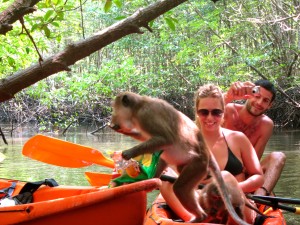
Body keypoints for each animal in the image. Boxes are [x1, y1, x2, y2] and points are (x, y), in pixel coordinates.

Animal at [109, 91, 250, 225]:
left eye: (115, 109)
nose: (112, 118)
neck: (138, 107)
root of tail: (206, 153)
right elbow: (148, 138)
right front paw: (123, 131)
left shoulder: (145, 115)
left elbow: (166, 139)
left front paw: (128, 153)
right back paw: (153, 178)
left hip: (198, 166)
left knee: (180, 188)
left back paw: (200, 217)